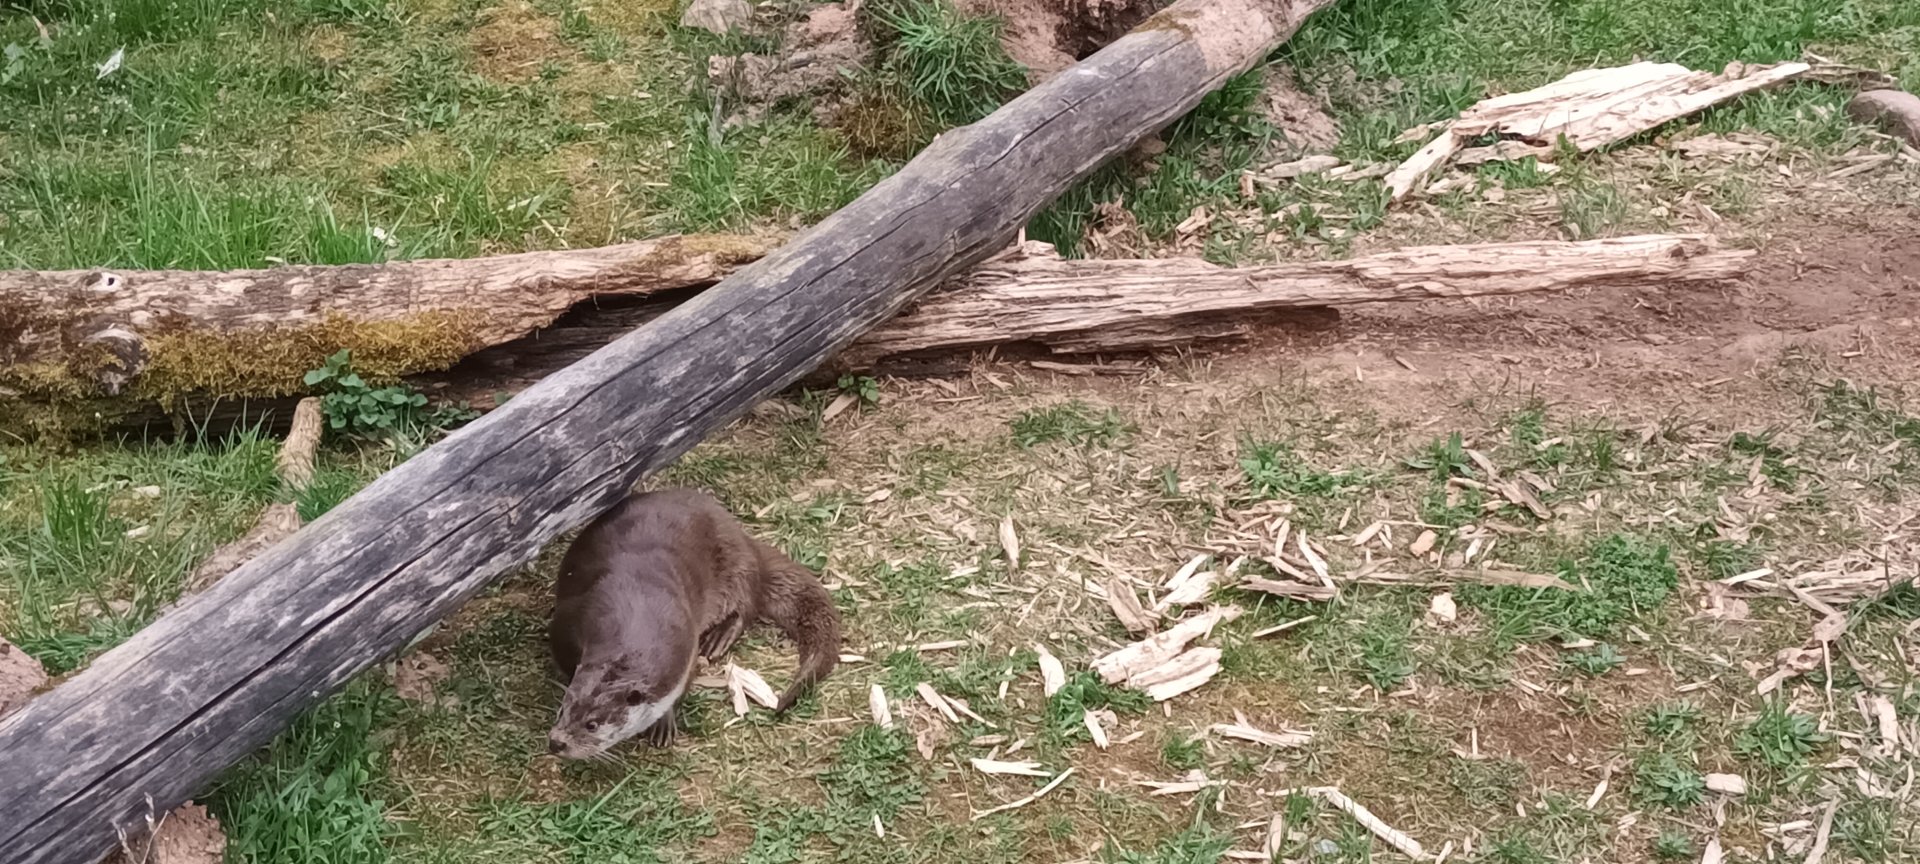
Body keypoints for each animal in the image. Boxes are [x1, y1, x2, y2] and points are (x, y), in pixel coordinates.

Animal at [546, 488, 841, 758]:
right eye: (562, 709)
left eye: (592, 724)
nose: (556, 743)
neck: (635, 611)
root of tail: (743, 537)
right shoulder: (568, 620)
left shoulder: (687, 648)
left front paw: (663, 723)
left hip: (737, 566)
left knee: (746, 603)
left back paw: (721, 637)